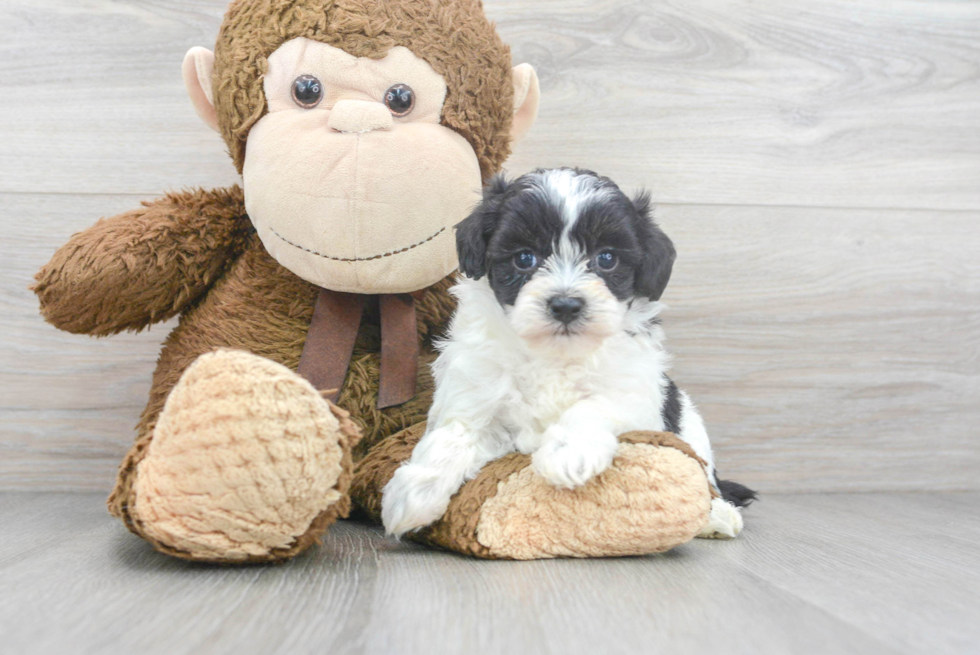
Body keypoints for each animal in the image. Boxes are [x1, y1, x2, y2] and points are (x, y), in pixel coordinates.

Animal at [378, 168, 756, 540]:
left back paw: (718, 516)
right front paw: (413, 493)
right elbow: (454, 434)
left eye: (606, 258)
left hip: (689, 422)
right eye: (524, 258)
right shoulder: (476, 389)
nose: (565, 305)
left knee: (706, 476)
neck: (555, 353)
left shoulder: (633, 390)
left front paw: (568, 452)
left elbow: (594, 405)